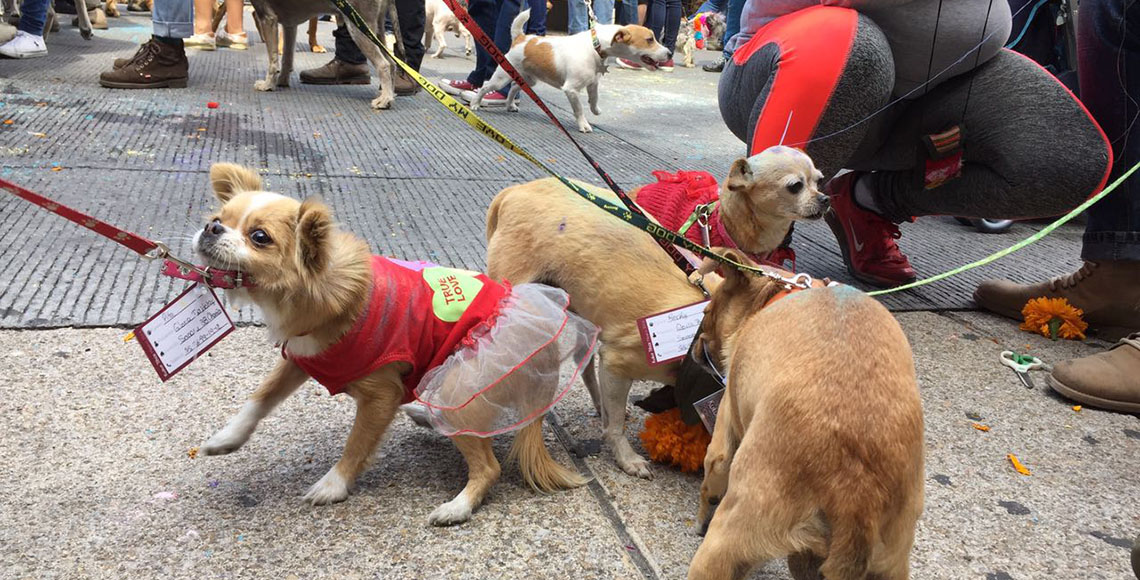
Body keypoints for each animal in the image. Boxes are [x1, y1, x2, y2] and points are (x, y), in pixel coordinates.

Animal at [467, 9, 670, 131]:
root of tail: (521, 38)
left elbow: (594, 99)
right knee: (486, 86)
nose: (669, 53)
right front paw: (584, 125)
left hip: (529, 79)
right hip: (501, 77)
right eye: (650, 40)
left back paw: (510, 105)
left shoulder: (593, 83)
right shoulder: (571, 90)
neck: (595, 46)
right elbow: (579, 109)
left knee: (515, 88)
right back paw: (476, 103)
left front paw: (596, 110)